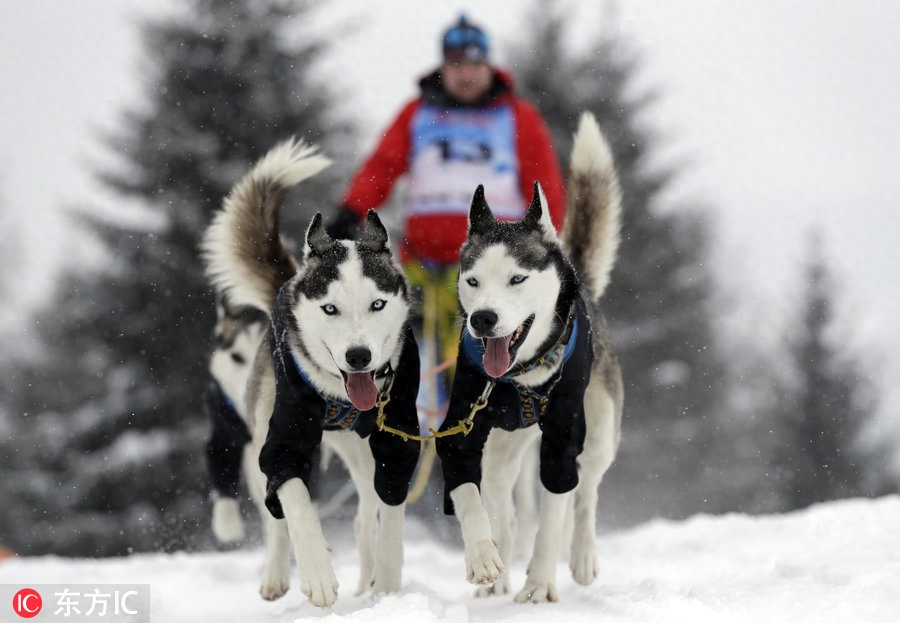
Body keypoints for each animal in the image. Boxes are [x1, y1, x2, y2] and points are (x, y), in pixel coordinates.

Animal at [202, 139, 420, 608]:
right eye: (330, 308)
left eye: (377, 304)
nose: (359, 356)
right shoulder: (279, 441)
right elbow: (295, 500)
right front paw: (318, 573)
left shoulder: (396, 439)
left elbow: (391, 511)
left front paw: (388, 583)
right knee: (276, 516)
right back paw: (277, 574)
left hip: (360, 454)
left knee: (365, 510)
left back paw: (368, 576)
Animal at [438, 113, 624, 604]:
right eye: (473, 280)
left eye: (517, 278)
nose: (482, 319)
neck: (521, 375)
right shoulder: (461, 426)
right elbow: (469, 497)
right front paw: (483, 559)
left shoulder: (564, 436)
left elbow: (557, 507)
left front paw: (539, 583)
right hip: (504, 447)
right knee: (500, 499)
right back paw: (499, 569)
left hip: (601, 429)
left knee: (587, 490)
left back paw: (581, 556)